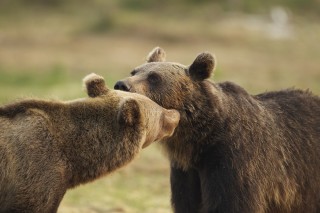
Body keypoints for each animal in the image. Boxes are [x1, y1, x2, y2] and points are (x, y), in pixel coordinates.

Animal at [115, 47, 320, 212]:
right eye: (134, 71)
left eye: (154, 77)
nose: (121, 84)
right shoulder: (186, 171)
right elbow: (187, 203)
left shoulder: (236, 161)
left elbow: (233, 203)